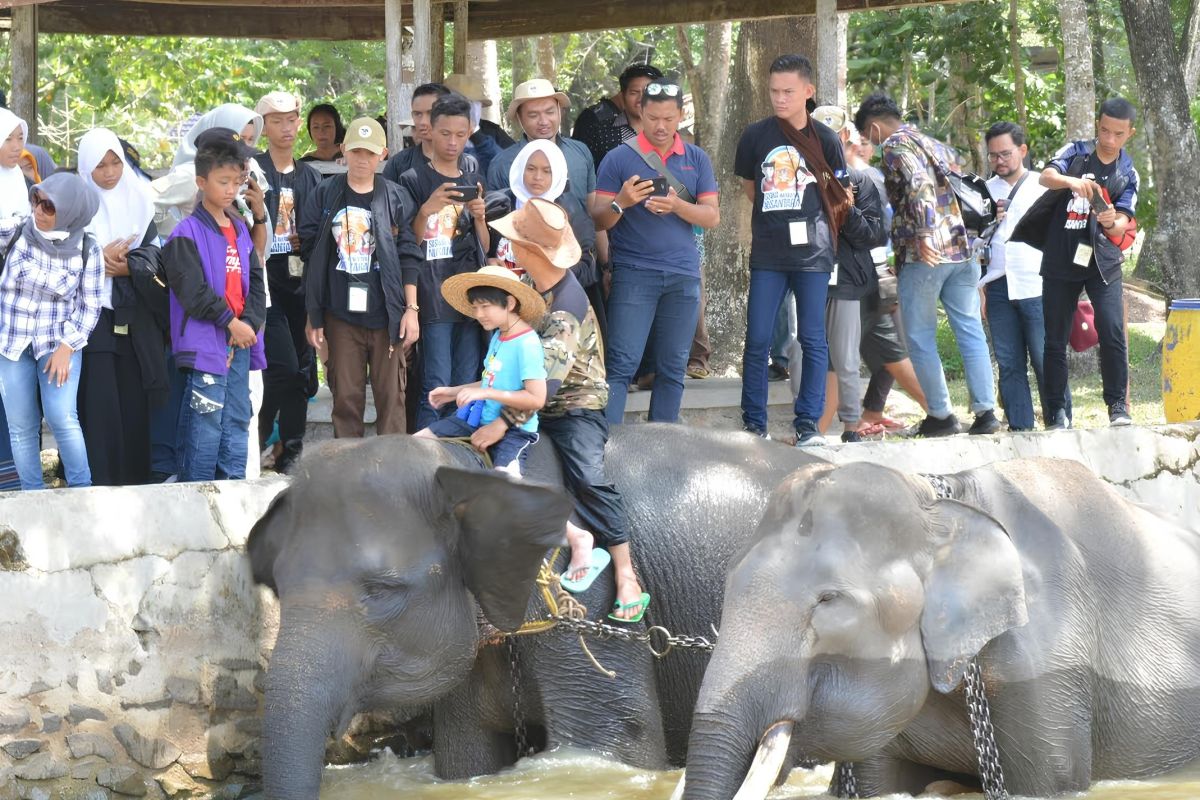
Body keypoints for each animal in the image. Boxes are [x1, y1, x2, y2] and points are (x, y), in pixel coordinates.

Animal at [248, 422, 820, 796]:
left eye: (382, 590)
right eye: (275, 585)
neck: (467, 469)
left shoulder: (587, 600)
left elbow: (616, 745)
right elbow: (466, 756)